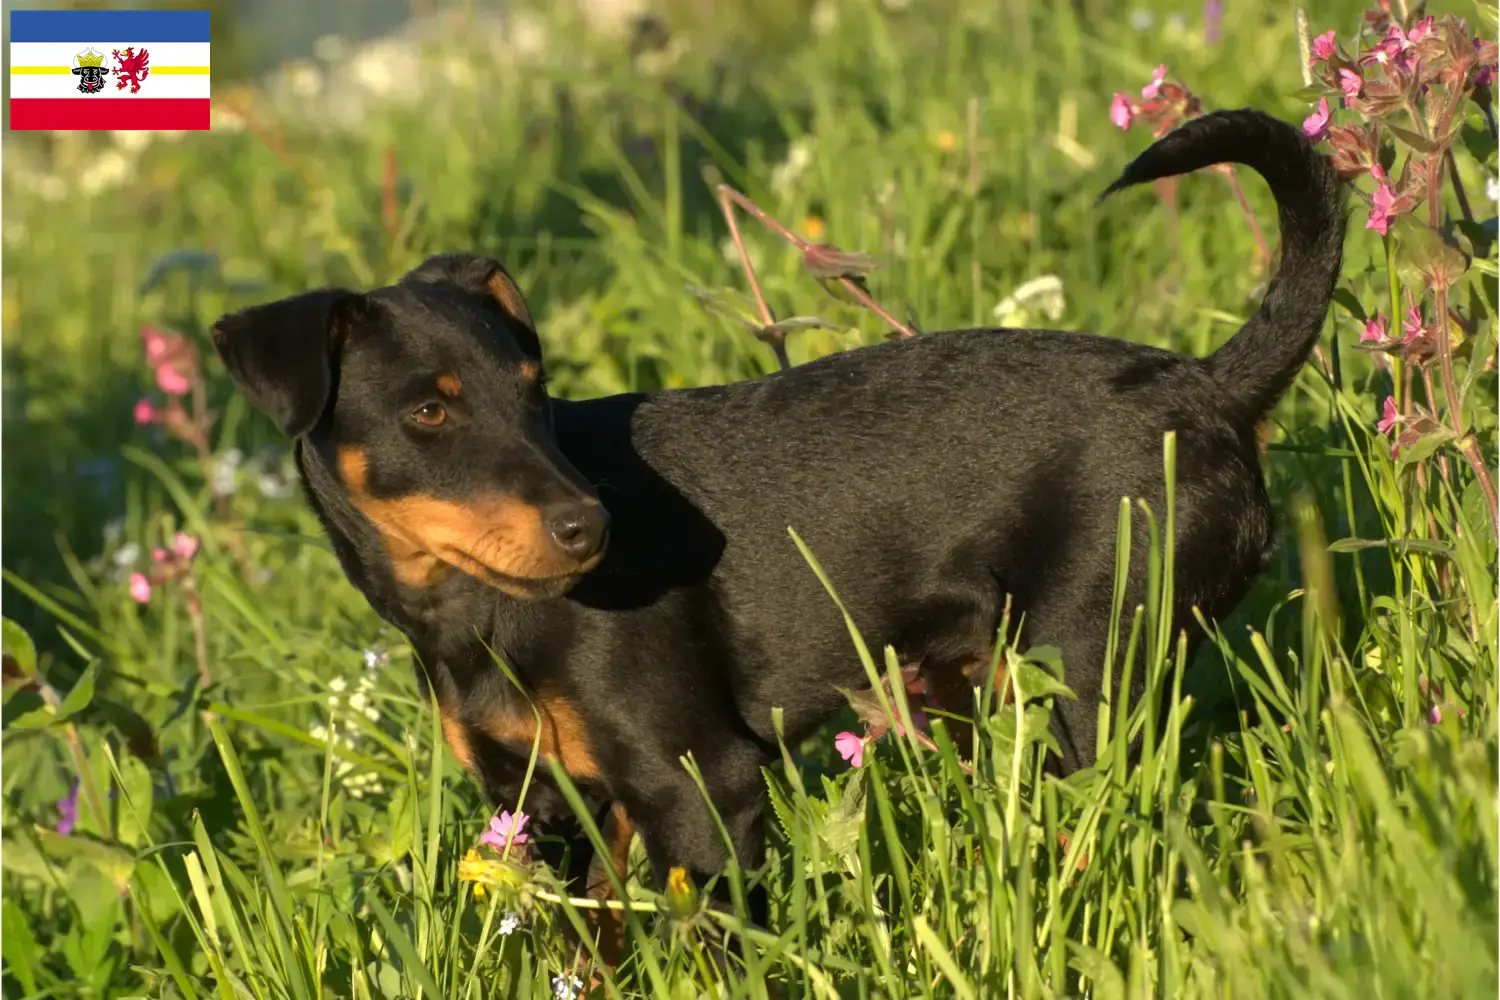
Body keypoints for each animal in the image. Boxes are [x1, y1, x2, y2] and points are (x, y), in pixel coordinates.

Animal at [211, 111, 1350, 941]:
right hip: (981, 682)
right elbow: (587, 947)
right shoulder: (544, 806)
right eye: (428, 412)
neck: (470, 615)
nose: (591, 528)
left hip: (1089, 669)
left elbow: (716, 943)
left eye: (534, 394)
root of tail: (1211, 386)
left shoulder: (697, 786)